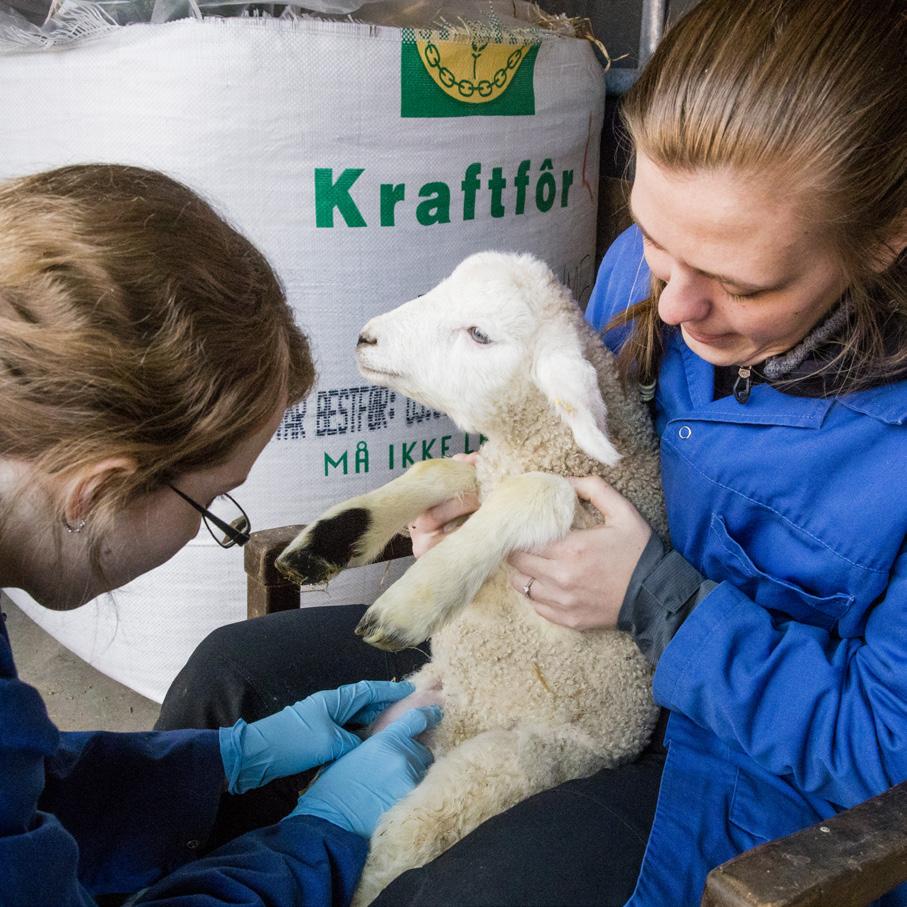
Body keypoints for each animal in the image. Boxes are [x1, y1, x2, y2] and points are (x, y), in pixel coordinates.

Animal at [276, 252, 668, 904]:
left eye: (480, 334)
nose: (366, 338)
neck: (537, 446)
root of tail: (461, 725)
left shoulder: (578, 506)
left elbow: (539, 493)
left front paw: (411, 601)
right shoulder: (479, 474)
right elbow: (436, 470)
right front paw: (326, 542)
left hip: (518, 759)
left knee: (406, 838)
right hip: (415, 698)